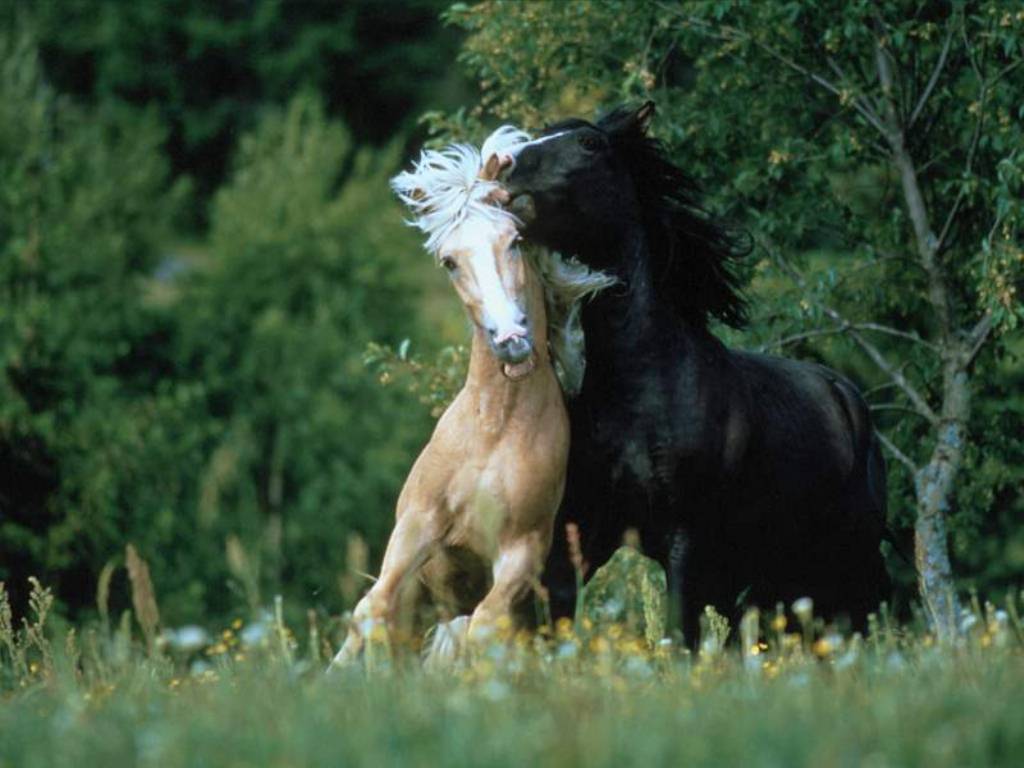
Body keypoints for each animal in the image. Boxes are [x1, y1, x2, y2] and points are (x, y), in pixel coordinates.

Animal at [331, 128, 610, 667]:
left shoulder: (520, 554)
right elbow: (370, 609)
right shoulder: (416, 528)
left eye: (516, 241)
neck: (493, 431)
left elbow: (482, 629)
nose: (512, 341)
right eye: (449, 261)